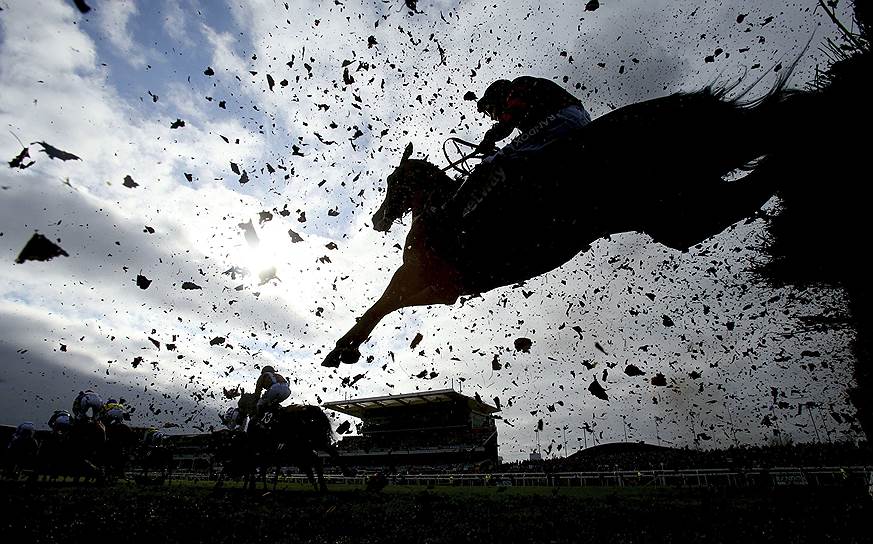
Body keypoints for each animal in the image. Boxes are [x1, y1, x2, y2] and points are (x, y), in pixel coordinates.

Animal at [324, 70, 808, 366]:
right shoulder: (441, 286)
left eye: (394, 182)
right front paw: (346, 349)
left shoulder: (431, 278)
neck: (443, 209)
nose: (378, 219)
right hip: (677, 212)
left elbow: (383, 301)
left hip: (676, 207)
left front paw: (341, 350)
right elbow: (389, 303)